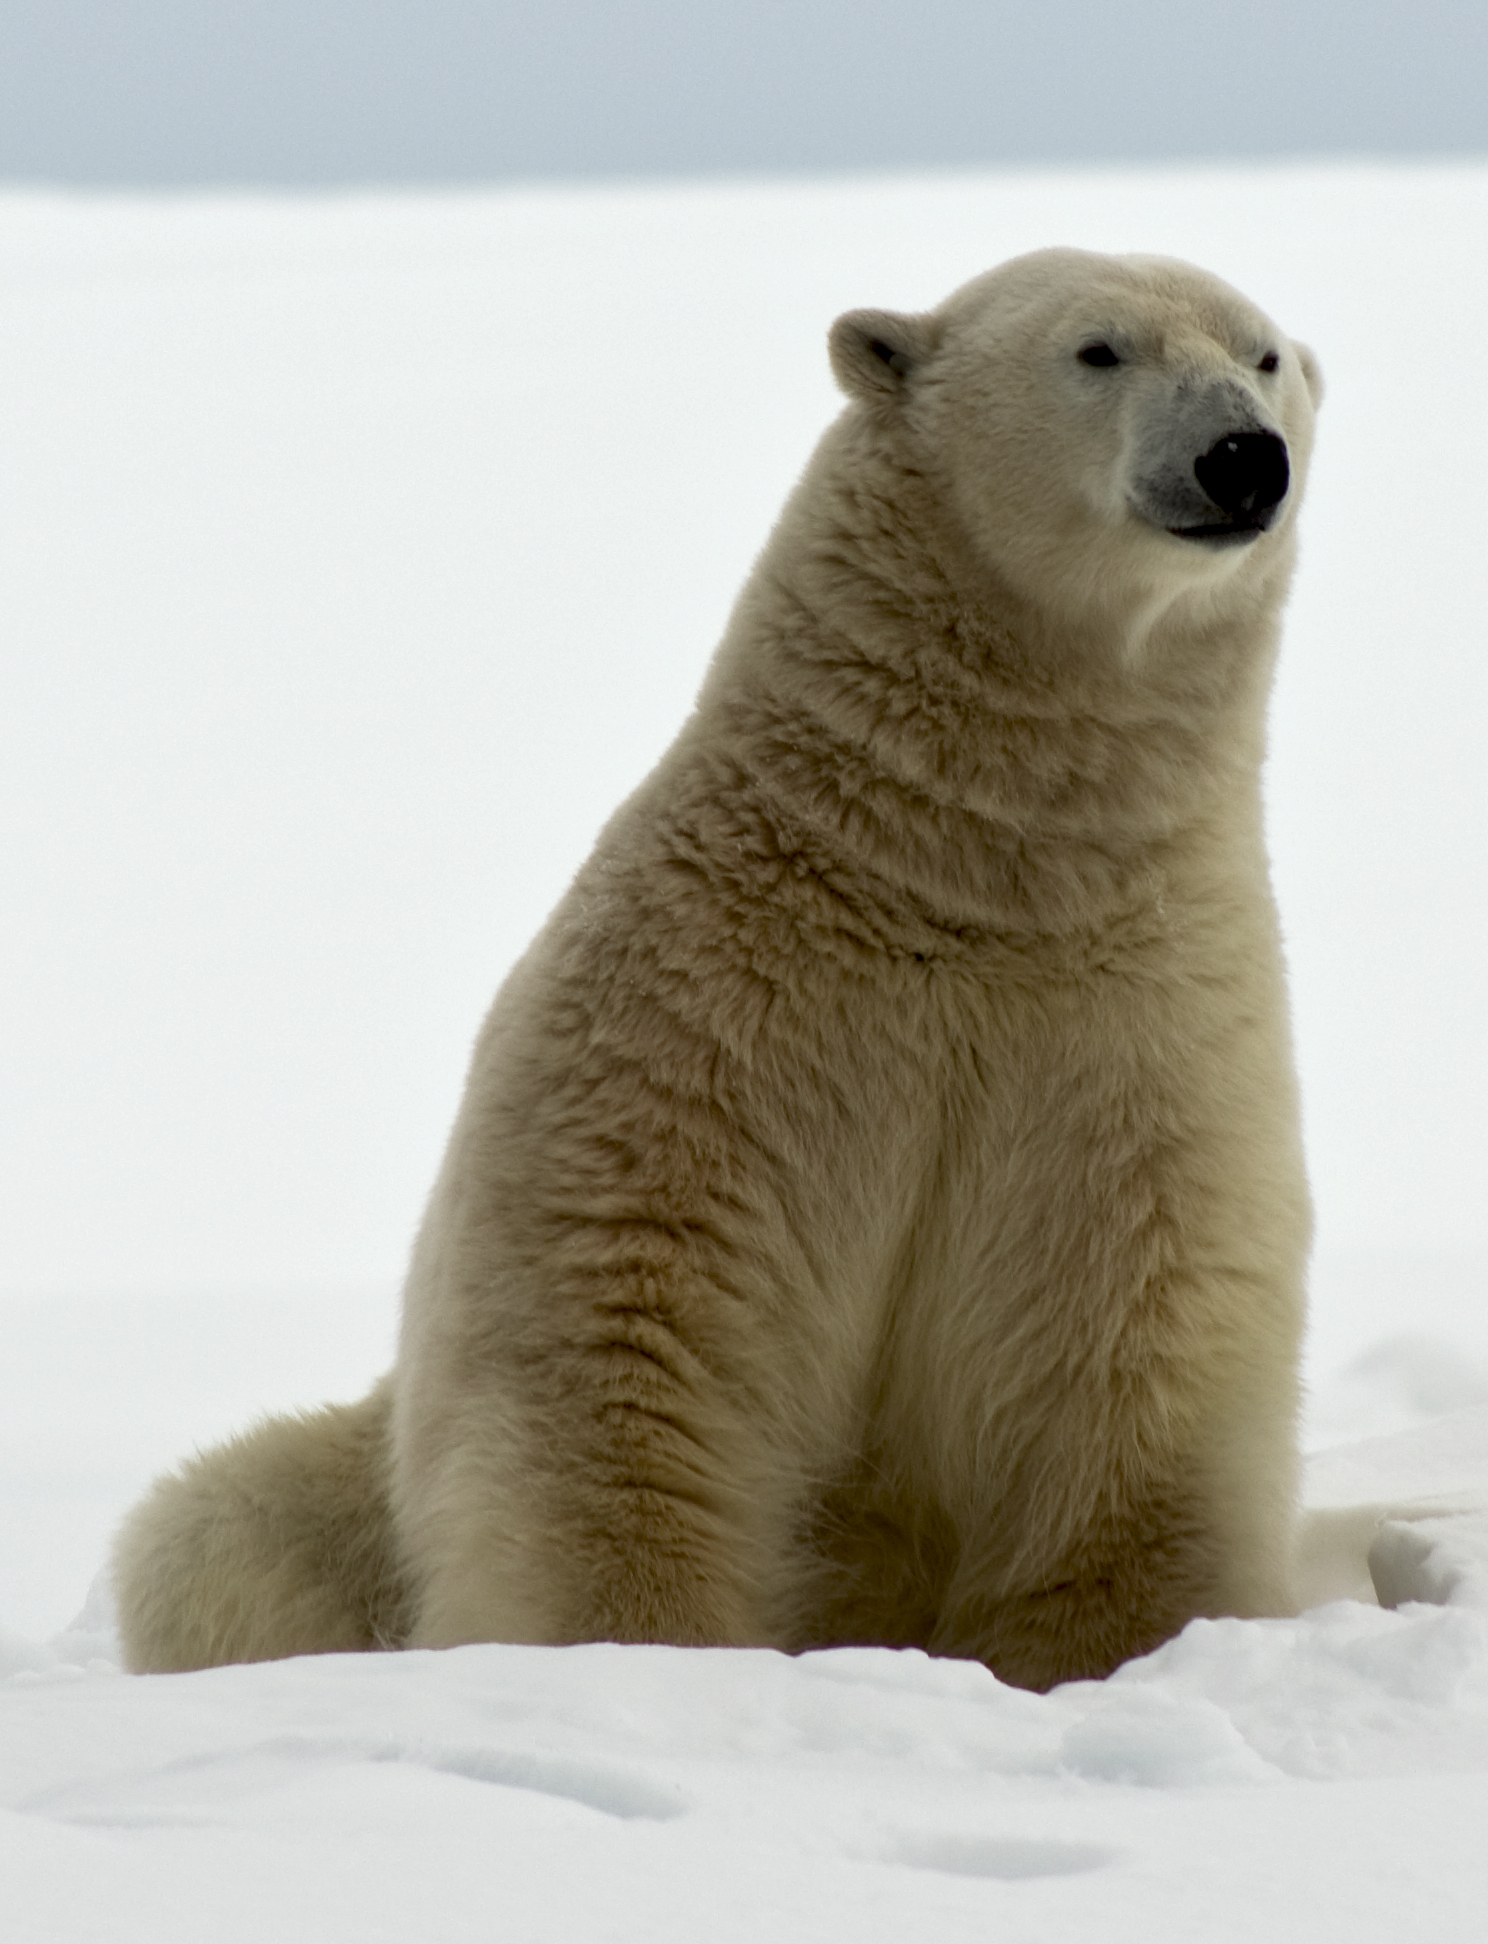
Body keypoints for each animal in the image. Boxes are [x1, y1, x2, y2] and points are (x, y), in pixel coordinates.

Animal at [113, 247, 1323, 1691]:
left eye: (1261, 353)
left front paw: (1110, 1651)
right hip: (342, 1484)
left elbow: (1128, 1320)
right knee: (209, 1528)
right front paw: (644, 1659)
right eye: (1099, 349)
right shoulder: (709, 1004)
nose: (1244, 458)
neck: (972, 862)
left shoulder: (1135, 1026)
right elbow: (626, 1322)